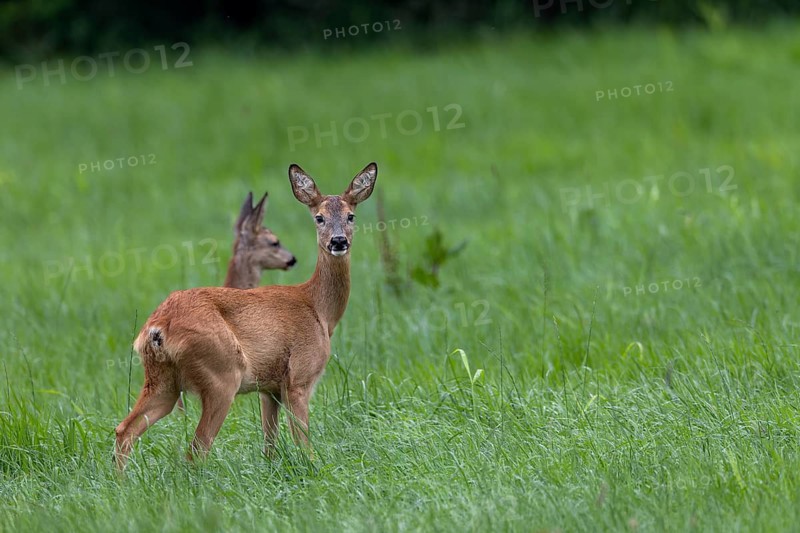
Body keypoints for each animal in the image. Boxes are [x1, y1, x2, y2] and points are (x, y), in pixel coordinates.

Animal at [114, 162, 377, 470]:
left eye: (351, 216)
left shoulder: (270, 387)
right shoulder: (299, 377)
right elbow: (303, 442)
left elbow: (269, 444)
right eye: (319, 218)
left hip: (163, 382)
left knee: (125, 429)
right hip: (222, 374)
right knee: (196, 448)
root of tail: (156, 327)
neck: (320, 310)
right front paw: (315, 468)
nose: (338, 241)